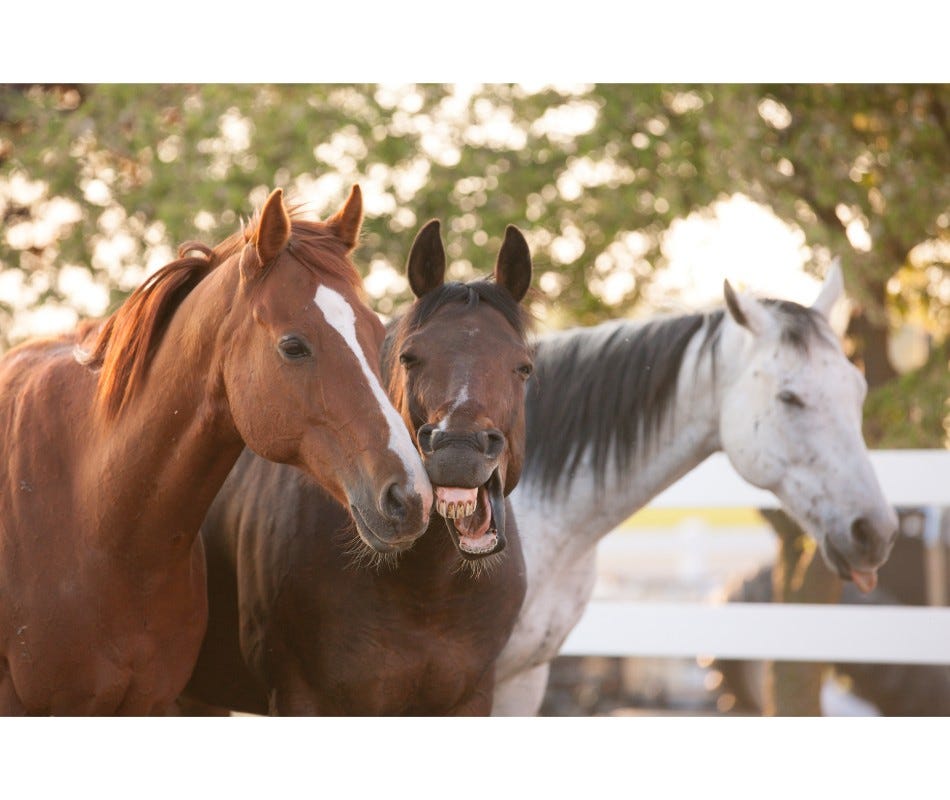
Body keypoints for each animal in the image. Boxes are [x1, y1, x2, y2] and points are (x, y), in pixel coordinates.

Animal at [186, 222, 536, 716]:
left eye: (522, 366)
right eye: (409, 357)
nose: (458, 450)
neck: (428, 593)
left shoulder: (472, 697)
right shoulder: (302, 697)